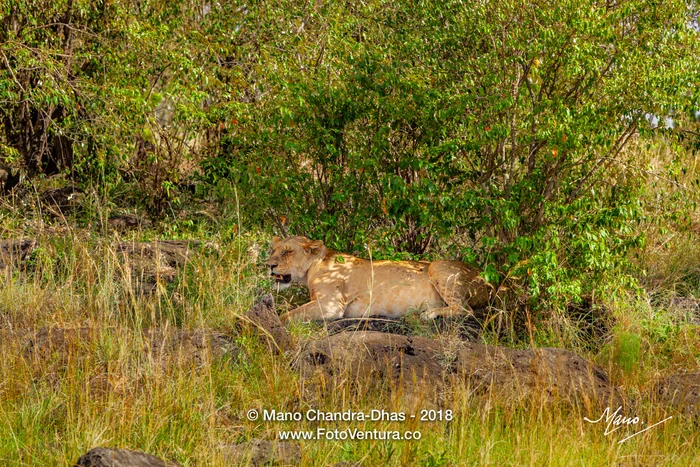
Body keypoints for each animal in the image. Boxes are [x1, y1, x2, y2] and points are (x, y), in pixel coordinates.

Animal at [267, 236, 494, 323]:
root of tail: (486, 280)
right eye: (273, 251)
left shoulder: (331, 305)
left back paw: (429, 314)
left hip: (437, 266)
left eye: (287, 251)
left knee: (466, 309)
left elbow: (289, 315)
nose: (269, 265)